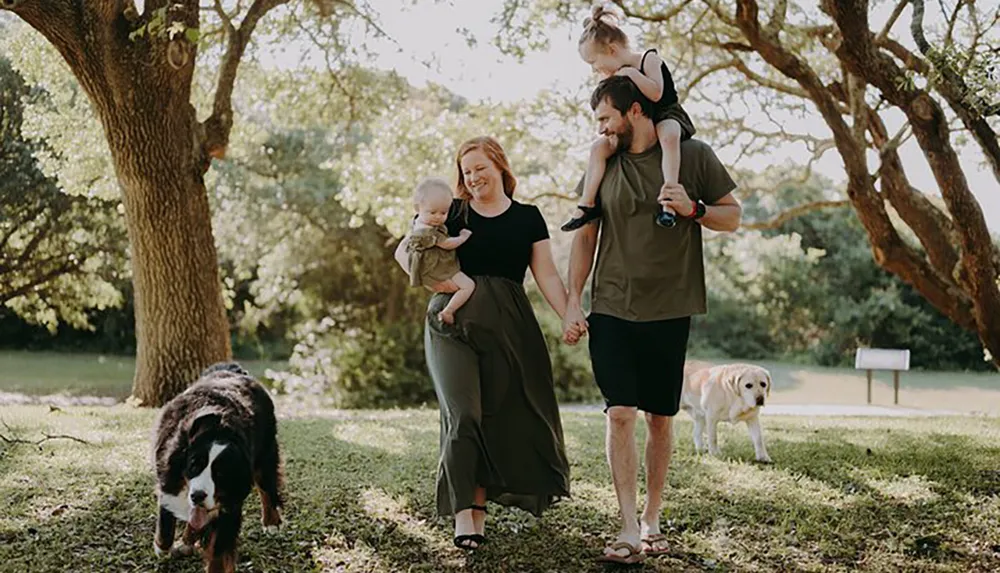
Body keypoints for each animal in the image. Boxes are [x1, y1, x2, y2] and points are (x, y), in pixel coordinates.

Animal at [152, 360, 286, 568]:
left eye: (221, 474)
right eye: (194, 465)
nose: (198, 495)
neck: (217, 430)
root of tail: (235, 371)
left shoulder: (229, 505)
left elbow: (218, 553)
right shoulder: (168, 475)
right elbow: (167, 518)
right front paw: (162, 546)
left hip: (265, 453)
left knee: (266, 487)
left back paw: (271, 522)